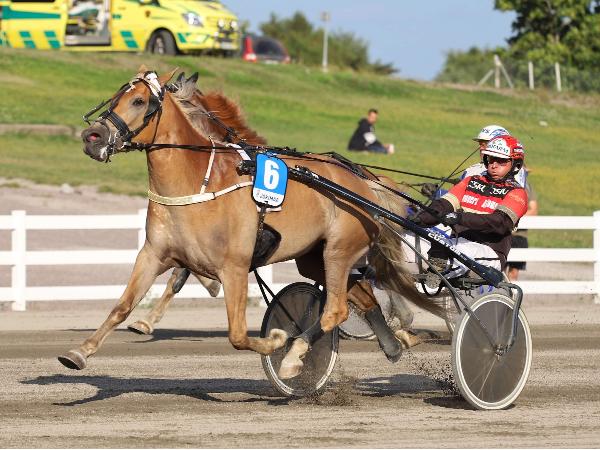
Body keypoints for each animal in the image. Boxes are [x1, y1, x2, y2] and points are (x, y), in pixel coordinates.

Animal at [59, 66, 441, 380]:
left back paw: (295, 355)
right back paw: (394, 343)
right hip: (314, 258)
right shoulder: (153, 254)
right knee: (361, 293)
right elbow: (123, 306)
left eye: (139, 100)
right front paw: (80, 352)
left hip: (339, 250)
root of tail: (362, 181)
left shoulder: (235, 266)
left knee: (336, 309)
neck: (199, 179)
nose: (92, 137)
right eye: (114, 98)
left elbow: (238, 334)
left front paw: (277, 342)